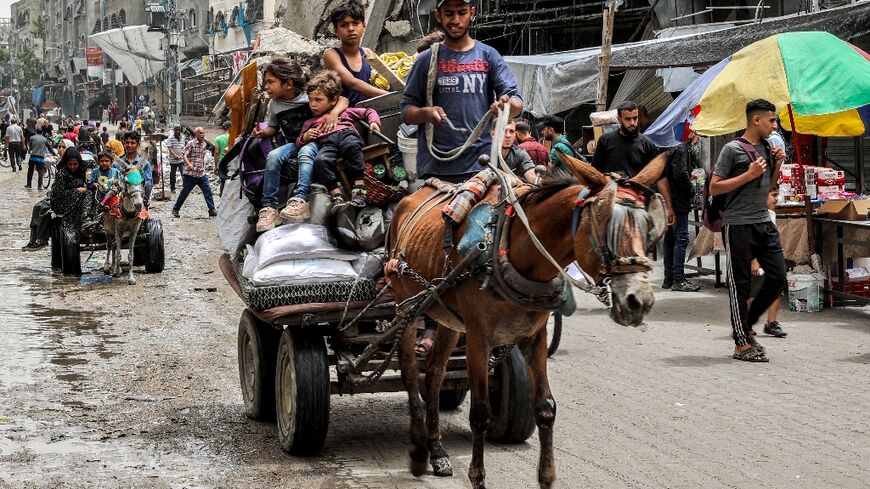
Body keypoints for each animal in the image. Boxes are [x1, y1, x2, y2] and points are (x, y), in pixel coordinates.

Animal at [388, 153, 668, 488]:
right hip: (406, 306)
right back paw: (419, 451)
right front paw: (478, 478)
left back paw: (437, 450)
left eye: (648, 225)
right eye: (603, 223)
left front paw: (546, 478)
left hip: (448, 320)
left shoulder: (535, 337)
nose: (640, 301)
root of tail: (407, 199)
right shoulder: (479, 338)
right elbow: (480, 414)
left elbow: (546, 408)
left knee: (433, 374)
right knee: (409, 373)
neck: (513, 250)